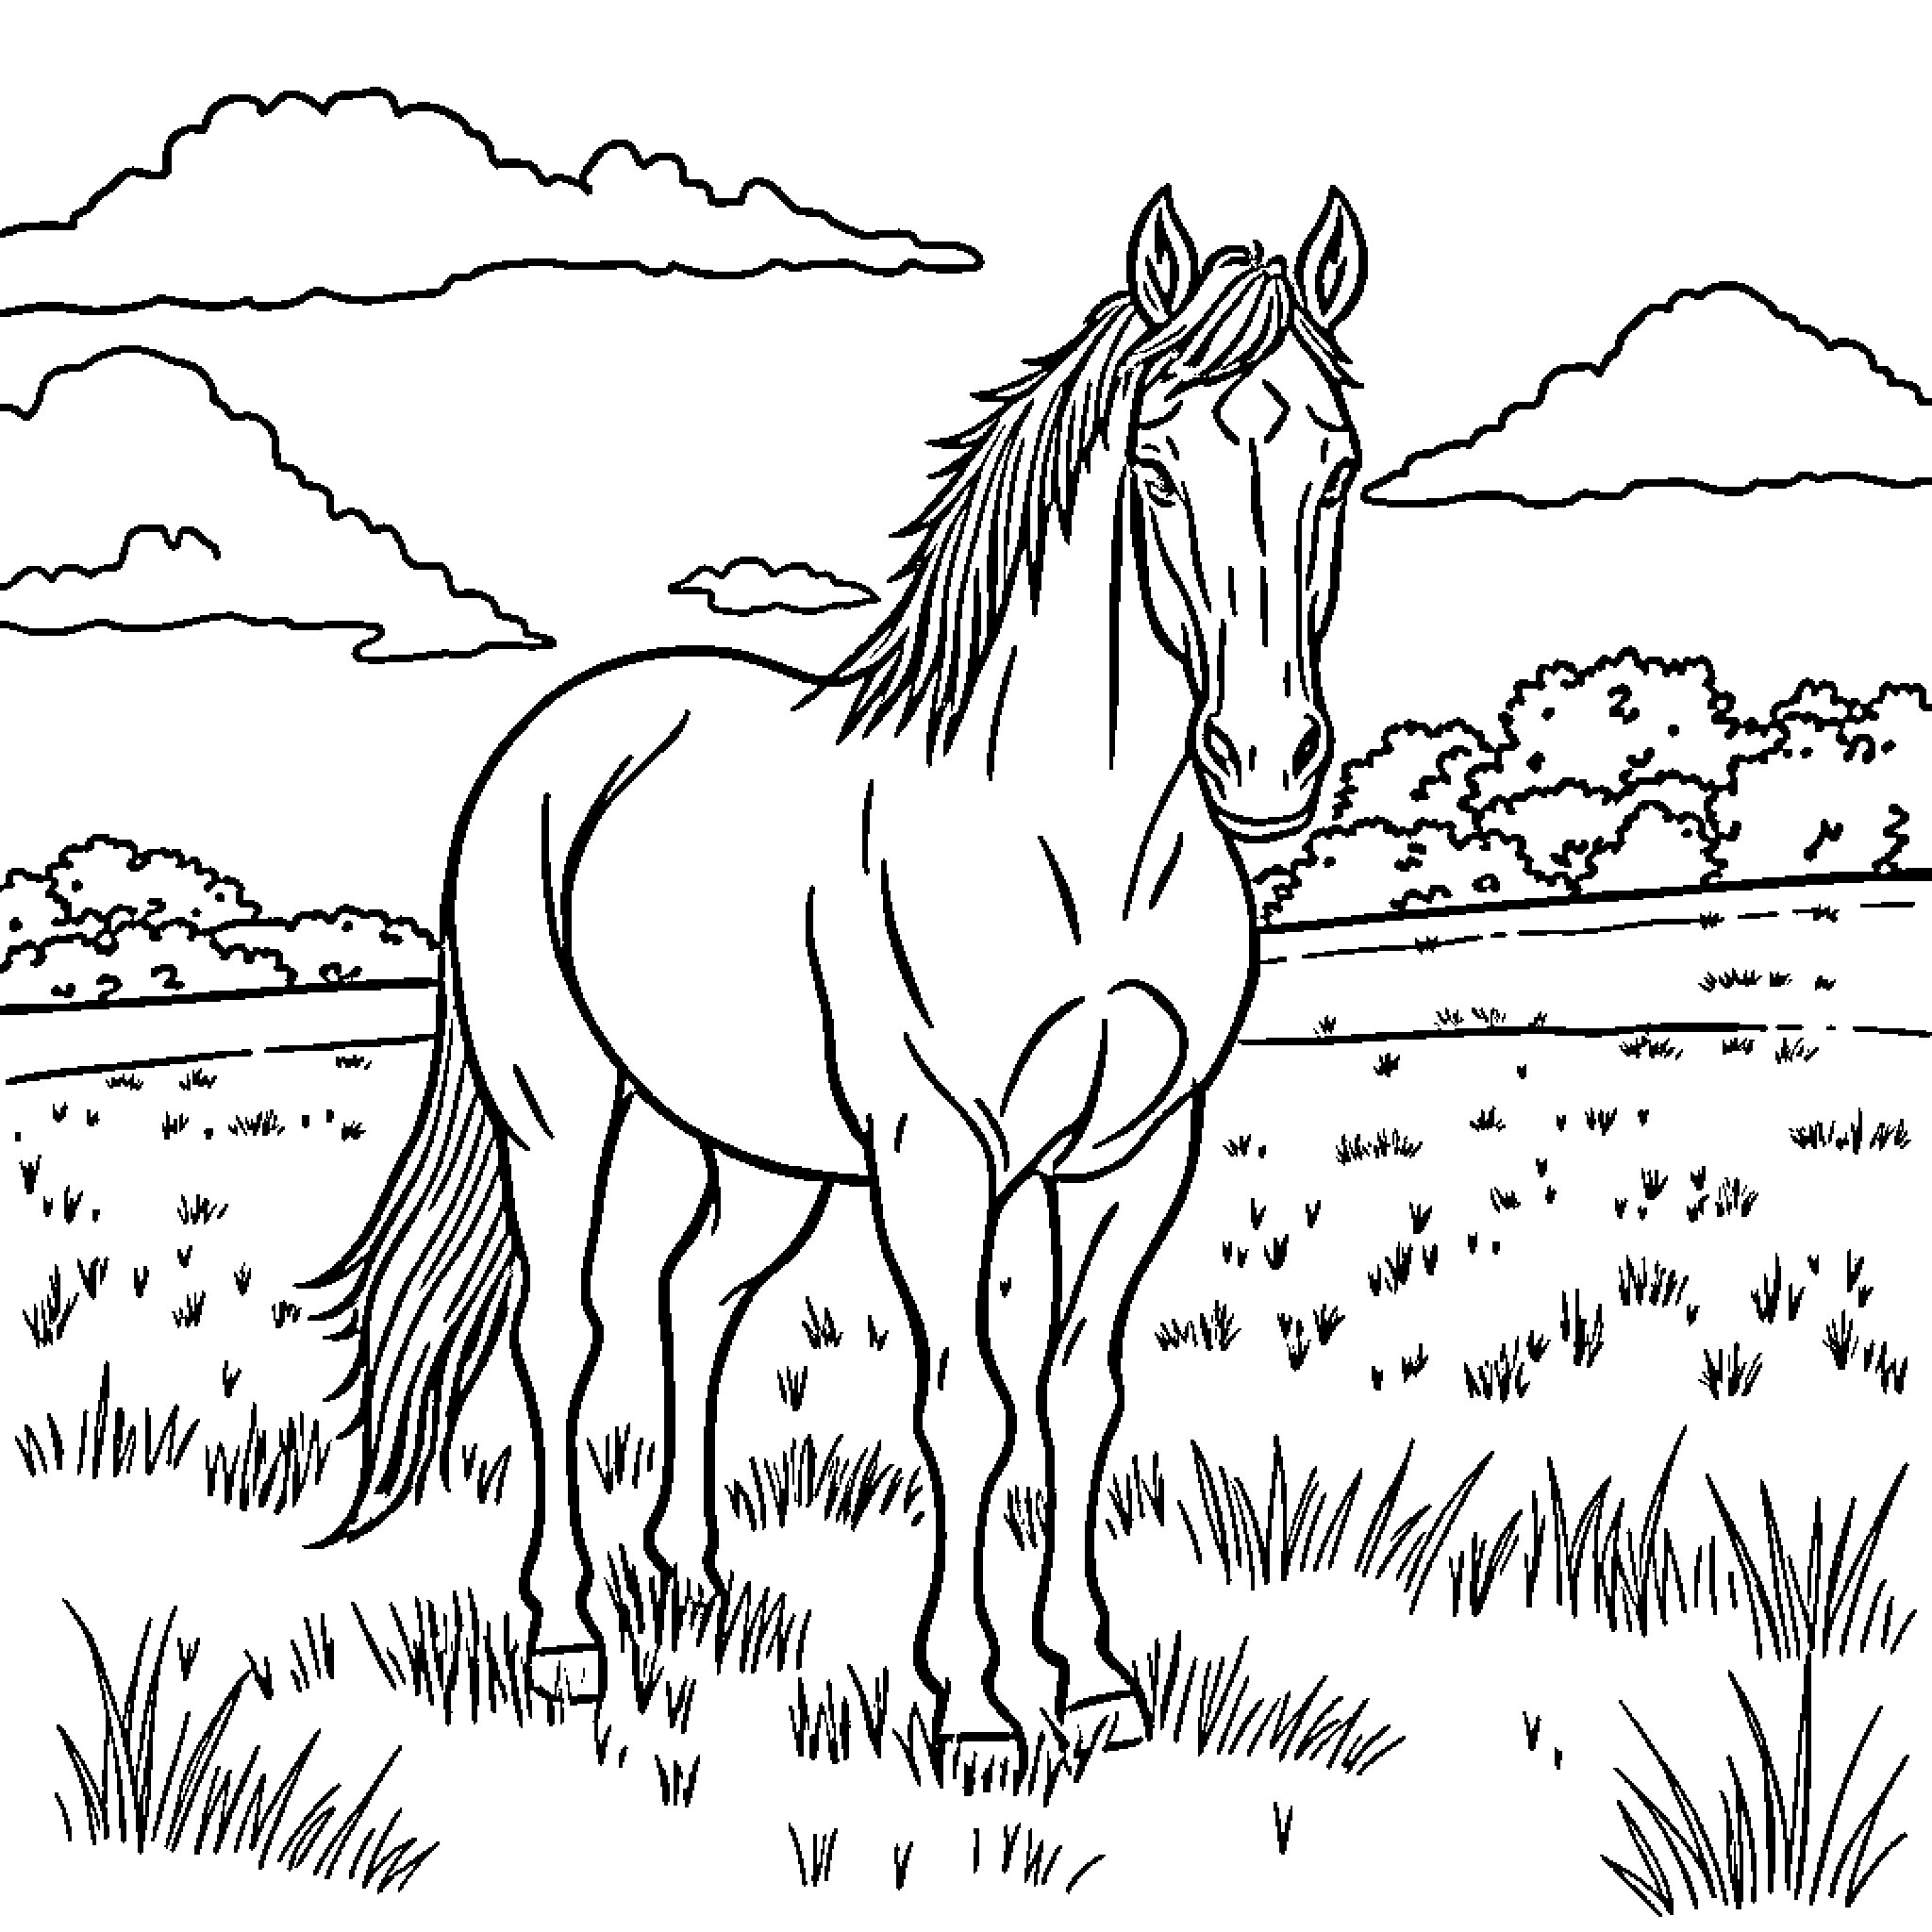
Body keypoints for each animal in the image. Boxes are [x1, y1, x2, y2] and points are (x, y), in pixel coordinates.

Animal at [311, 182, 1367, 1760]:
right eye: (1161, 469)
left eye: (1336, 466)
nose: (1268, 760)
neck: (1074, 837)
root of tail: (553, 734)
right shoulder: (940, 1154)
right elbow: (964, 1408)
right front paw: (976, 1700)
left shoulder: (1132, 1156)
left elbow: (1080, 1394)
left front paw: (1091, 1678)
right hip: (556, 1112)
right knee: (562, 1335)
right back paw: (565, 1637)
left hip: (764, 1158)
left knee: (696, 1300)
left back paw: (688, 1578)